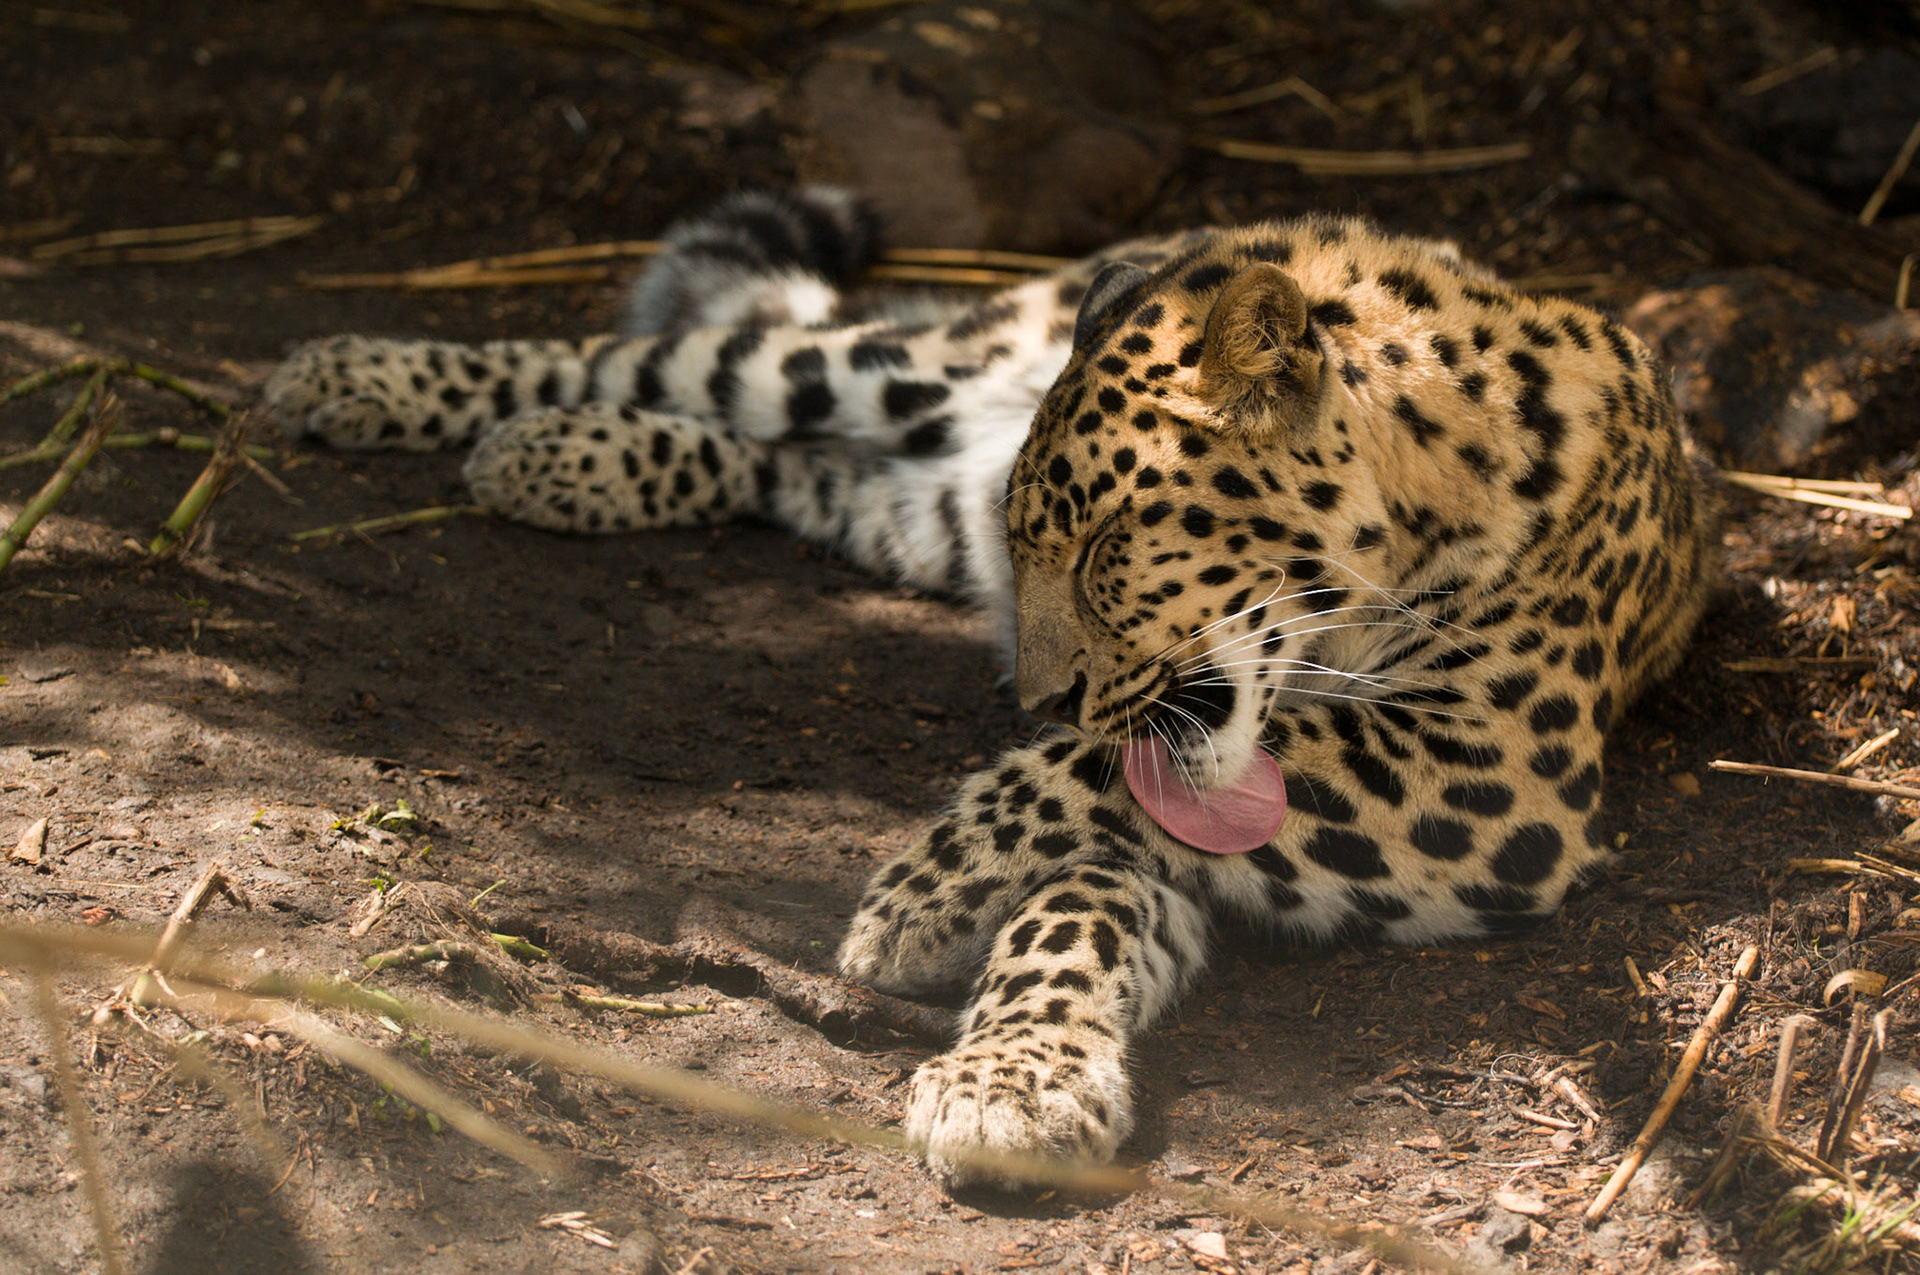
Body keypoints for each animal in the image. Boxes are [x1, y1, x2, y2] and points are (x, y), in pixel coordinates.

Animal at [265, 187, 1718, 1187]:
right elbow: (1095, 824)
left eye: (1111, 540)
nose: (1039, 692)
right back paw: (368, 378)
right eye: (1053, 546)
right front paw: (957, 971)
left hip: (909, 505)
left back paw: (563, 460)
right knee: (672, 357)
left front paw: (953, 955)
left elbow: (1086, 859)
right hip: (892, 377)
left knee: (790, 463)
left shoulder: (1496, 770)